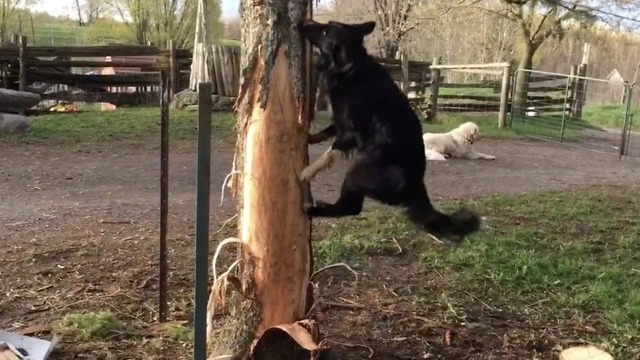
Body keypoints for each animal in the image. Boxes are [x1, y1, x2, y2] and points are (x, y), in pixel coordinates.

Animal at [298, 18, 480, 243]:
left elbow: (330, 151)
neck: (350, 68)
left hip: (359, 169)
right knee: (352, 207)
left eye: (325, 31)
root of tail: (416, 184)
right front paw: (309, 137)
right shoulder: (340, 122)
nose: (304, 22)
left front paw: (308, 171)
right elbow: (327, 132)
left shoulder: (352, 133)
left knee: (350, 207)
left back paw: (315, 209)